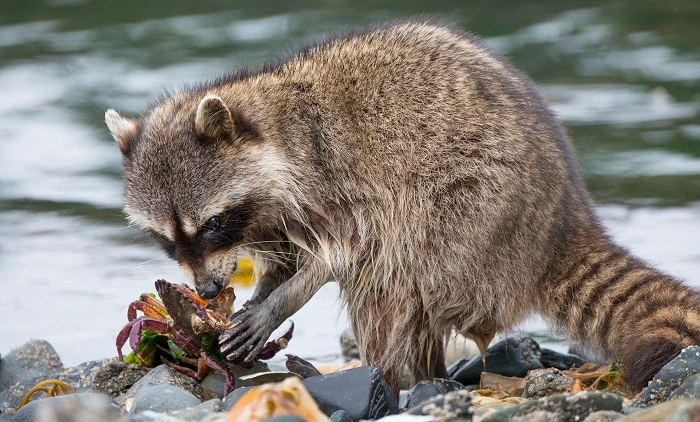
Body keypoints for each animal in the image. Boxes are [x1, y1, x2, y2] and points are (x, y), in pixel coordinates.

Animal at [106, 21, 700, 393]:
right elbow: (284, 259)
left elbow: (342, 255)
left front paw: (278, 304)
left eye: (211, 225)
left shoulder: (333, 188)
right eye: (167, 239)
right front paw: (261, 294)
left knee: (395, 283)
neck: (271, 122)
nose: (207, 291)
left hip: (471, 216)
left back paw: (388, 376)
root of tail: (563, 218)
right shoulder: (273, 215)